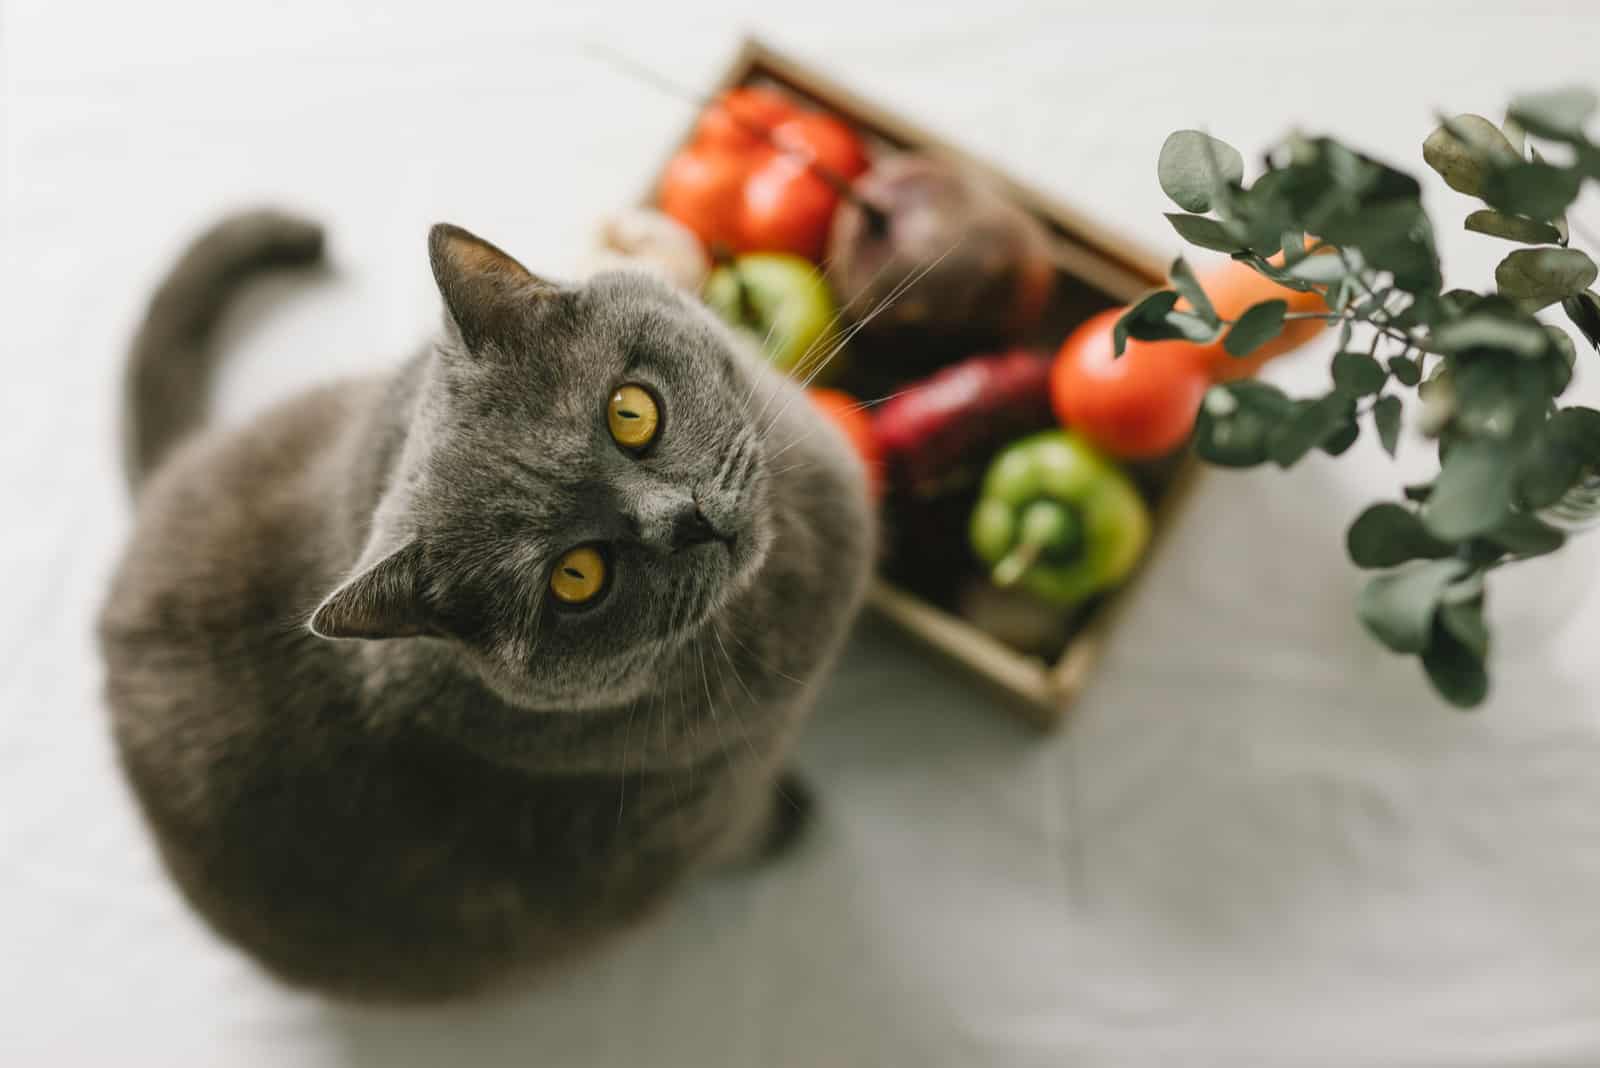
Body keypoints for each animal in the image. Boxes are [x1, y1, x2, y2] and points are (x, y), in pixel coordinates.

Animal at [100, 211, 876, 1004]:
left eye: (631, 413)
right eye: (577, 577)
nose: (688, 522)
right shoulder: (711, 805)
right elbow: (744, 827)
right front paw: (788, 819)